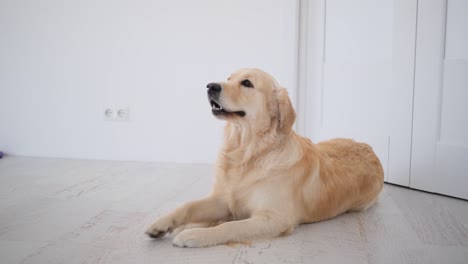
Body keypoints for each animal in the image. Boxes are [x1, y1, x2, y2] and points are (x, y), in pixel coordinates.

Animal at [147, 68, 384, 248]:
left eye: (247, 83)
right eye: (229, 77)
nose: (211, 86)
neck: (247, 152)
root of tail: (371, 149)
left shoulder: (274, 218)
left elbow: (230, 226)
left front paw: (195, 235)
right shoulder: (225, 200)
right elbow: (187, 206)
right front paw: (161, 224)